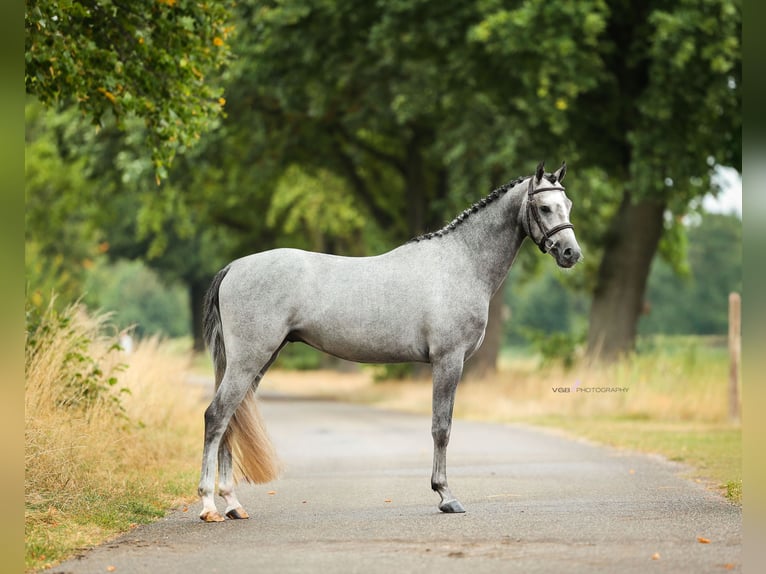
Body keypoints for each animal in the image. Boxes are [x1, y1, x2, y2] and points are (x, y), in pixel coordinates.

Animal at [198, 160, 582, 522]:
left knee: (232, 419)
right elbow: (441, 427)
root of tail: (234, 267)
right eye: (544, 207)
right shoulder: (448, 360)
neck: (459, 263)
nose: (571, 254)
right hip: (249, 359)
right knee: (217, 416)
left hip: (259, 360)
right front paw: (446, 496)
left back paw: (233, 504)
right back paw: (209, 505)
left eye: (568, 205)